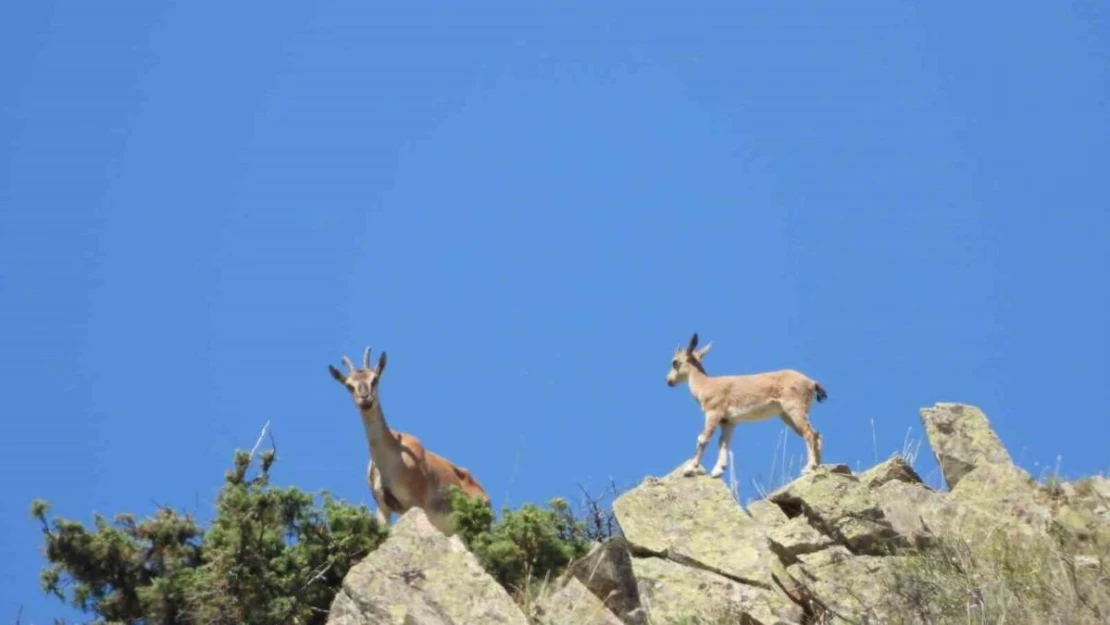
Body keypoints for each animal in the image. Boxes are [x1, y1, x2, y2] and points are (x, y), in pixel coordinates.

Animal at [661, 335, 830, 477]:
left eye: (675, 362)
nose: (669, 380)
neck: (706, 385)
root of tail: (811, 383)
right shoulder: (728, 421)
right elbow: (723, 443)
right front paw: (718, 470)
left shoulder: (713, 412)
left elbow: (703, 438)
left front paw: (690, 468)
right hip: (786, 415)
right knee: (817, 434)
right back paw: (818, 466)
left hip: (794, 409)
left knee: (810, 433)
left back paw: (808, 467)